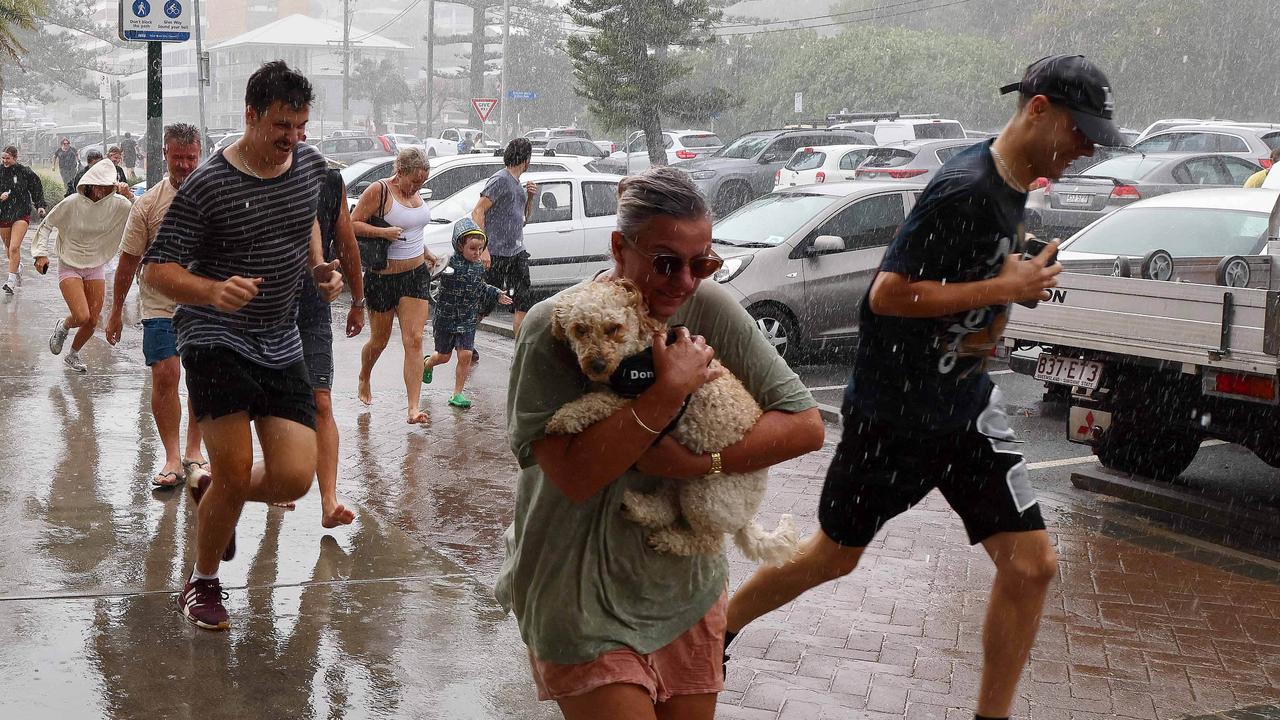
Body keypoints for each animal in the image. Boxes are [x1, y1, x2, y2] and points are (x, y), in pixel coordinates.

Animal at [542, 278, 798, 563]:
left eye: (614, 328)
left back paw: (669, 539)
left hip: (704, 495)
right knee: (669, 505)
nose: (597, 365)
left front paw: (565, 417)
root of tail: (746, 520)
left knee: (708, 541)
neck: (639, 352)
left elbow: (596, 402)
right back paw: (639, 508)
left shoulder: (638, 399)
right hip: (681, 478)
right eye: (580, 329)